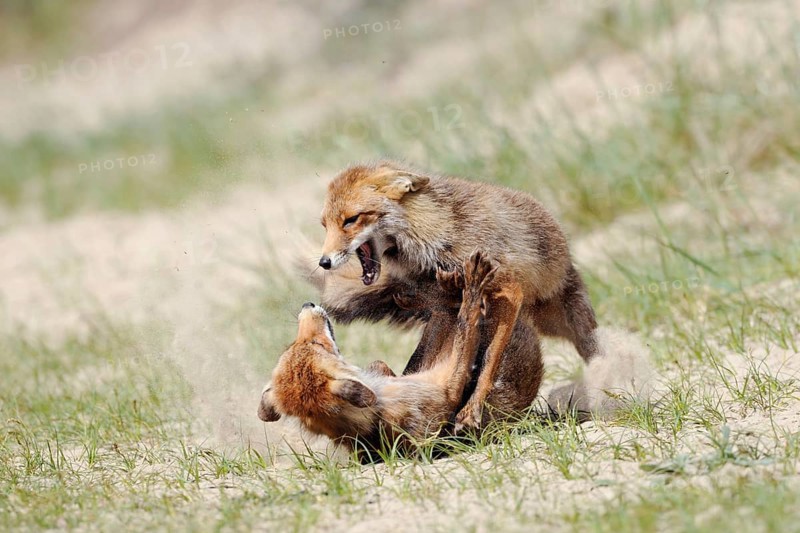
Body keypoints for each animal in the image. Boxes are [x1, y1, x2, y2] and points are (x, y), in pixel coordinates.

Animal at [258, 252, 504, 459]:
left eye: (293, 345)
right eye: (316, 343)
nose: (307, 304)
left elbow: (386, 361)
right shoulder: (447, 384)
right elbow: (464, 324)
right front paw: (471, 286)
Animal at [314, 160, 600, 429]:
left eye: (351, 220)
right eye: (325, 225)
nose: (324, 262)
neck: (435, 237)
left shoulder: (509, 290)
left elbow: (488, 361)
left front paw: (471, 410)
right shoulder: (440, 310)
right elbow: (420, 361)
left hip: (574, 325)